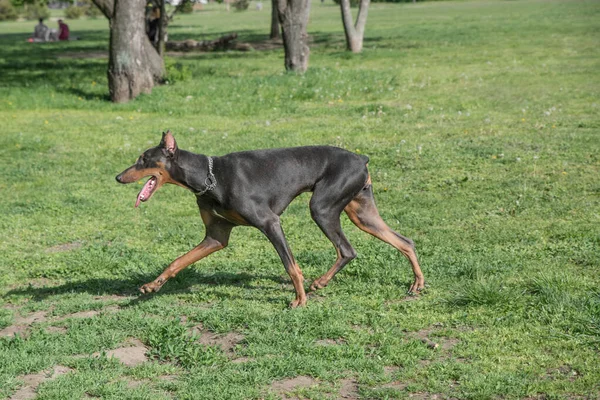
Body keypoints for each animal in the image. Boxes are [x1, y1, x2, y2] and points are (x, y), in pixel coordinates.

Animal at [116, 131, 426, 306]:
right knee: (405, 241)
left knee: (347, 250)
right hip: (361, 212)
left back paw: (319, 284)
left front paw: (300, 300)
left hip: (322, 208)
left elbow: (292, 267)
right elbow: (178, 261)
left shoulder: (270, 223)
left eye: (143, 159)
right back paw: (417, 284)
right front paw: (152, 285)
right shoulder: (216, 236)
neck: (209, 177)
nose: (118, 177)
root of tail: (361, 158)